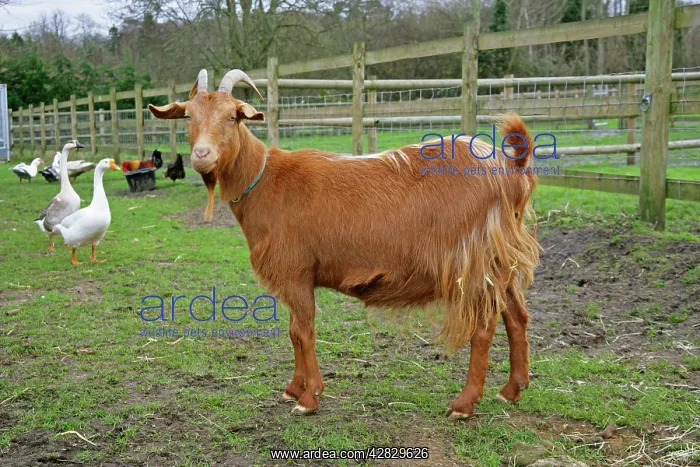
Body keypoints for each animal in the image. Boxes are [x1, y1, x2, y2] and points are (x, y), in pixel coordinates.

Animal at [148, 69, 541, 419]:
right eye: (188, 115)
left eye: (232, 116)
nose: (202, 155)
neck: (265, 181)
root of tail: (510, 169)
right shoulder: (295, 277)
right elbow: (293, 333)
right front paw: (293, 388)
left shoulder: (296, 271)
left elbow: (304, 332)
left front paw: (309, 398)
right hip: (498, 261)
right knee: (517, 315)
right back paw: (512, 389)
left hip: (473, 263)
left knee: (484, 326)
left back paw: (464, 403)